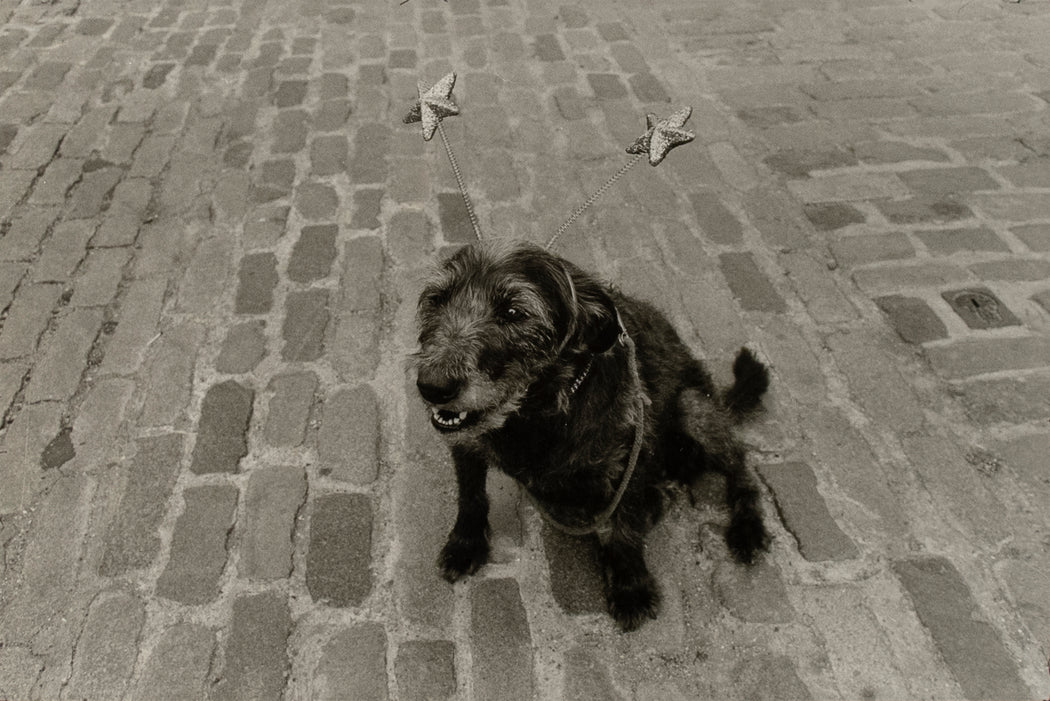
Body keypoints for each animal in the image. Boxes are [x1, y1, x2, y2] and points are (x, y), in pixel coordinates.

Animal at [413, 239, 768, 629]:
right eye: (437, 299)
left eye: (513, 312)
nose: (432, 386)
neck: (533, 418)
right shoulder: (466, 443)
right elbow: (471, 497)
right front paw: (466, 544)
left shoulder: (630, 463)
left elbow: (624, 529)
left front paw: (630, 585)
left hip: (694, 408)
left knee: (741, 466)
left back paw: (748, 527)